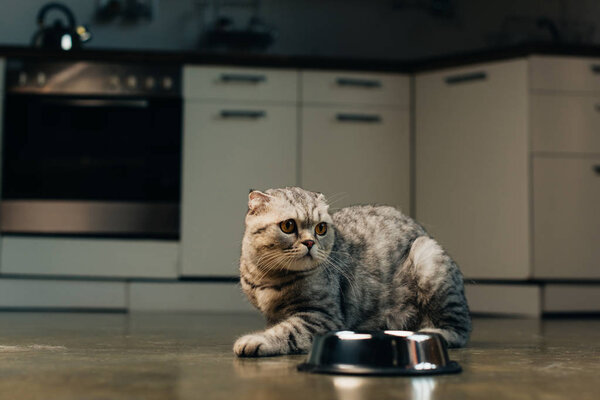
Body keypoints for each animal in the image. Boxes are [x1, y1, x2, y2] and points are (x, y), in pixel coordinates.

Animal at [232, 186, 472, 358]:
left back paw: (433, 332)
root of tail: (425, 233)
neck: (269, 276)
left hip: (428, 259)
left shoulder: (322, 316)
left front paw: (256, 340)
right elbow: (279, 326)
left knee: (460, 330)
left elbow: (287, 331)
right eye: (288, 226)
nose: (310, 243)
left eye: (321, 228)